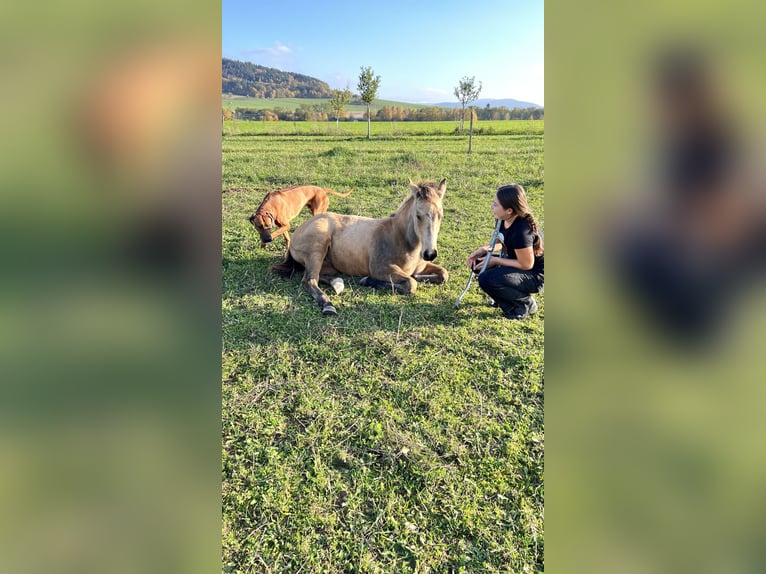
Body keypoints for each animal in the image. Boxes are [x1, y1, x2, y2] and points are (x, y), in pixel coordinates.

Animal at [272, 179, 450, 318]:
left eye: (441, 215)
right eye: (418, 215)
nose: (430, 254)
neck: (400, 238)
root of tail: (298, 231)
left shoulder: (421, 266)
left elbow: (443, 274)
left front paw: (420, 276)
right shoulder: (381, 269)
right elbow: (411, 284)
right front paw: (367, 280)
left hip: (328, 264)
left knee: (316, 275)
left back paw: (337, 284)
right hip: (318, 246)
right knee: (309, 280)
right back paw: (328, 306)